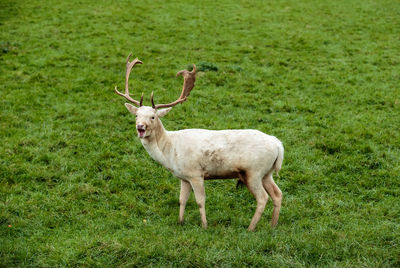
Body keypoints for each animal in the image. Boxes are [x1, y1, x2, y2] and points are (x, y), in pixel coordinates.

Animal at [115, 52, 284, 230]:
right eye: (136, 115)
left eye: (153, 117)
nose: (140, 127)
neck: (170, 151)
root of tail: (278, 145)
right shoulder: (184, 176)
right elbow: (182, 200)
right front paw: (180, 222)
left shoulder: (196, 173)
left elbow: (200, 201)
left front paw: (204, 226)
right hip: (267, 172)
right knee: (277, 194)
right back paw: (273, 225)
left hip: (254, 171)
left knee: (263, 198)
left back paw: (251, 228)